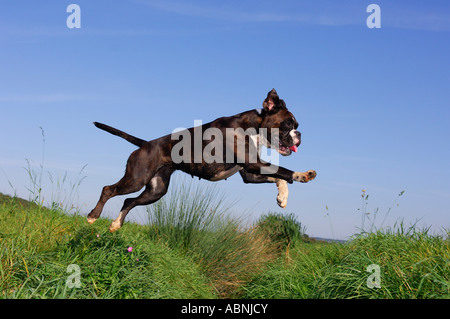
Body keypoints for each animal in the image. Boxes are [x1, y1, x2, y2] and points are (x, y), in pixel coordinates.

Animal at [86, 89, 314, 231]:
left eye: (296, 125)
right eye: (288, 123)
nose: (300, 134)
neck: (254, 126)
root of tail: (145, 144)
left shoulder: (250, 173)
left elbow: (279, 177)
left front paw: (282, 197)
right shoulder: (253, 164)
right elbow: (284, 170)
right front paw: (302, 174)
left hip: (155, 190)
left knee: (128, 201)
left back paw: (116, 224)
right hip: (136, 179)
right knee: (108, 190)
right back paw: (93, 216)